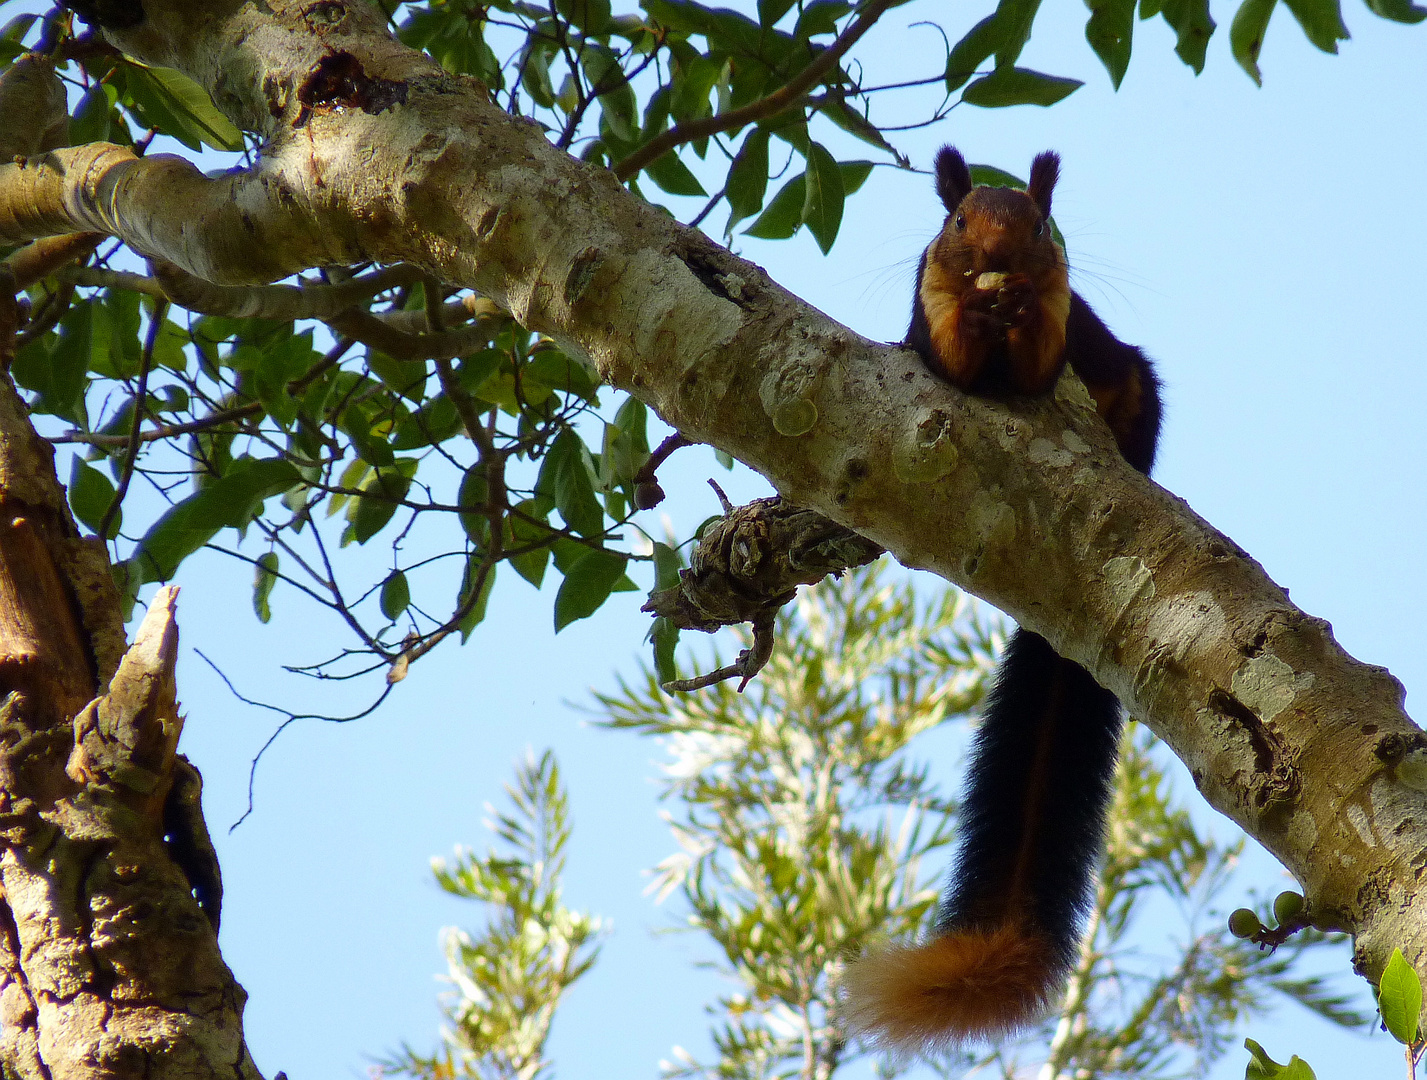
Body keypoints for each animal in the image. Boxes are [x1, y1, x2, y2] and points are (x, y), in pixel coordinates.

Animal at [844, 147, 1158, 1050]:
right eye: (956, 222)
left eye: (1039, 224)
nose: (999, 260)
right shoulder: (928, 311)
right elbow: (947, 361)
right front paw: (979, 319)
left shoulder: (1060, 316)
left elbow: (1039, 364)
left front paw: (1013, 311)